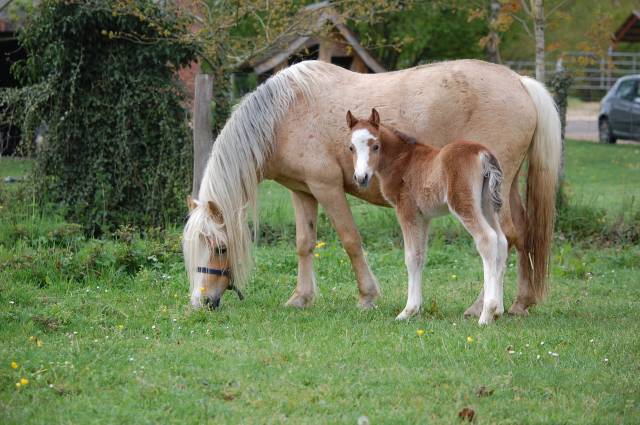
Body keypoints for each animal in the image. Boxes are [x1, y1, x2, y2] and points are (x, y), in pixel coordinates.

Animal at [346, 108, 507, 324]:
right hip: (487, 205)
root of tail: (482, 152)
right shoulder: (424, 217)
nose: (361, 178)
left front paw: (408, 311)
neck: (403, 160)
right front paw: (417, 309)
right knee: (501, 241)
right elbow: (421, 256)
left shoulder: (406, 210)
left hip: (463, 203)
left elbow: (411, 257)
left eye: (376, 146)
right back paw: (498, 310)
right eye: (351, 148)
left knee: (487, 239)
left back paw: (486, 314)